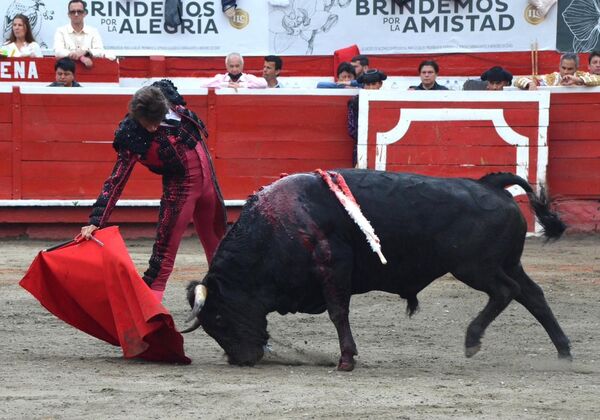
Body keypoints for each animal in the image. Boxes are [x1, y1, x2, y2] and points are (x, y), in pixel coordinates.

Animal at [183, 169, 571, 371]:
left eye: (218, 319)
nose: (241, 360)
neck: (277, 226)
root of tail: (491, 185)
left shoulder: (334, 267)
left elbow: (338, 313)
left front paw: (346, 360)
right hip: (507, 264)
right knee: (533, 295)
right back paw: (564, 350)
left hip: (476, 267)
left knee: (507, 292)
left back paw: (473, 340)